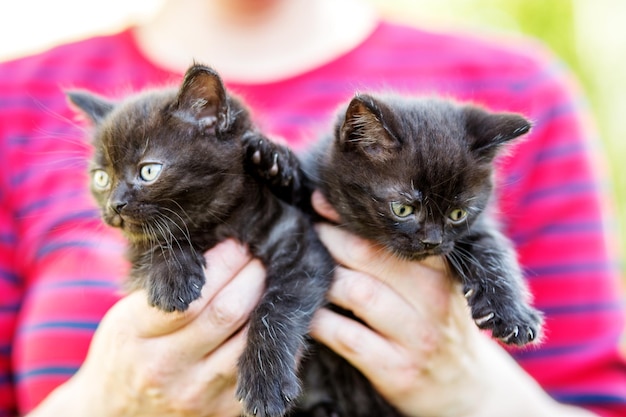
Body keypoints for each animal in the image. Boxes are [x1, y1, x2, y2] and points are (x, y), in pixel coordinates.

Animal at [67, 64, 336, 416]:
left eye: (148, 171)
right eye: (101, 178)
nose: (114, 206)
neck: (214, 223)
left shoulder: (298, 243)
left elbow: (277, 307)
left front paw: (265, 381)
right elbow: (154, 241)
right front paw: (173, 277)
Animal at [249, 92, 540, 414]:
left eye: (457, 213)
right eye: (402, 209)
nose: (432, 241)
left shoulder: (473, 230)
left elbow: (491, 248)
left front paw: (512, 315)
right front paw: (277, 164)